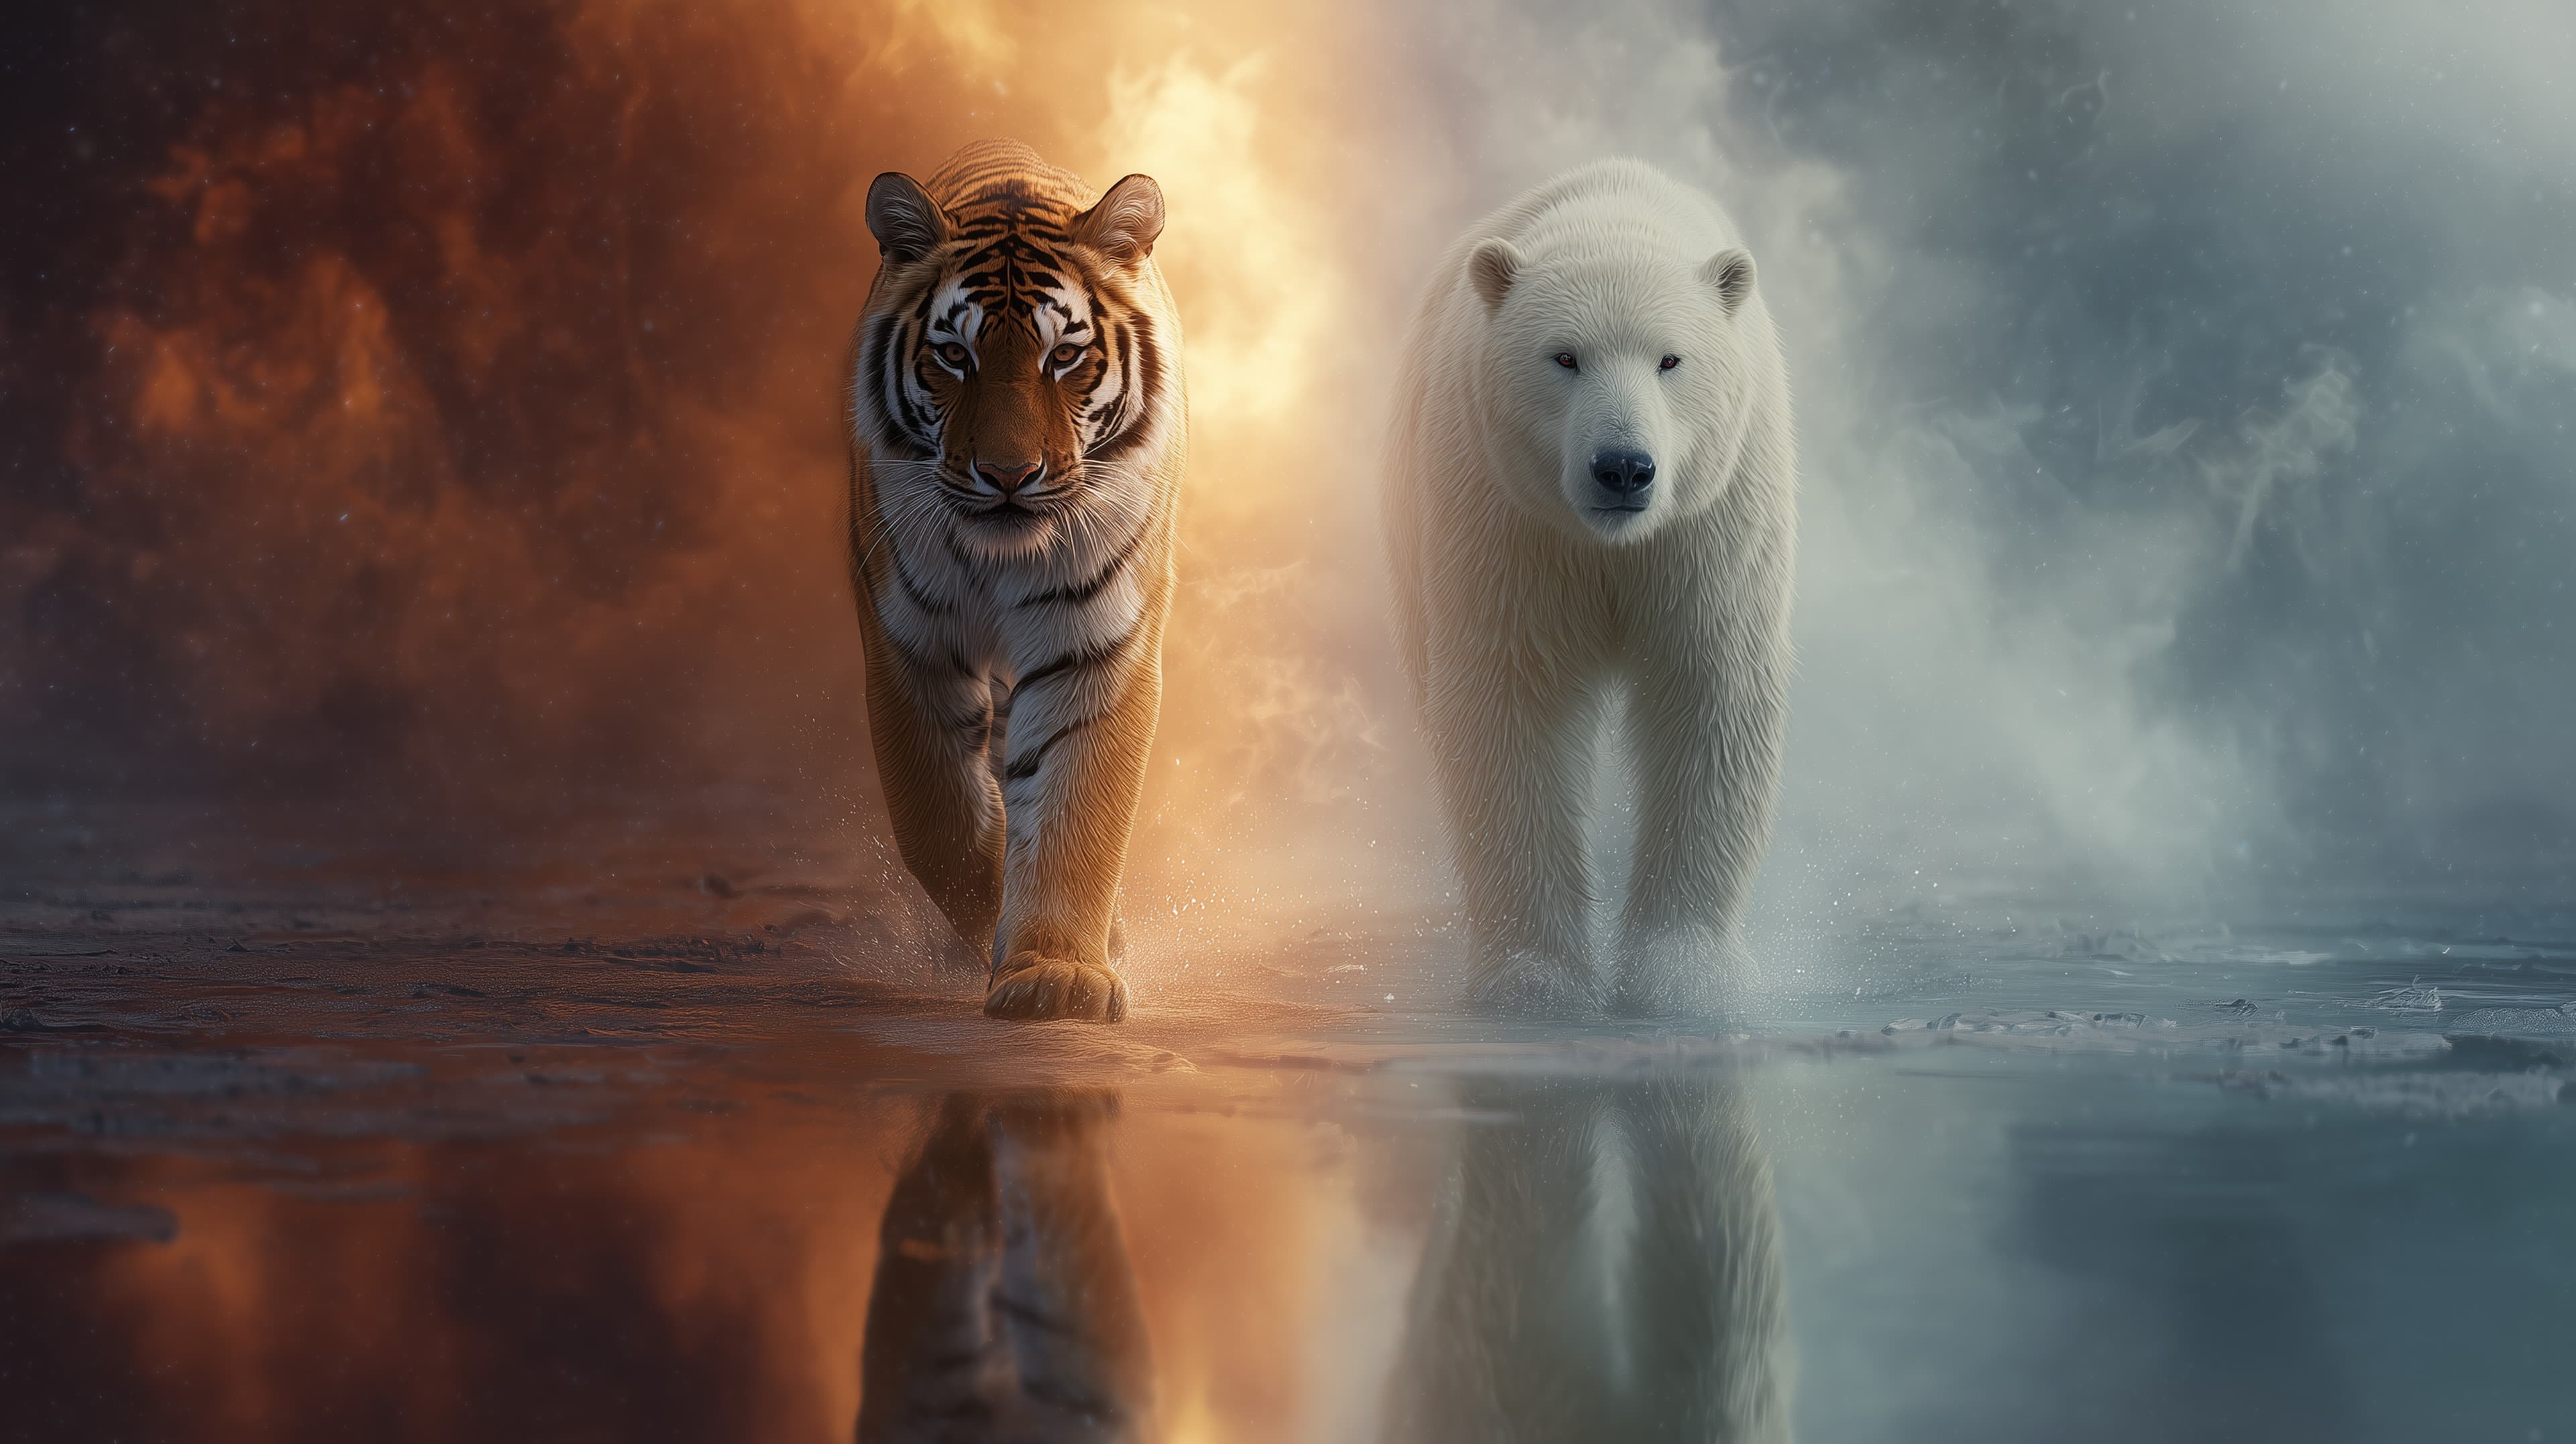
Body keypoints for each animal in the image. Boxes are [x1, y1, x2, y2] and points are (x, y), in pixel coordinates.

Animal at [845, 140, 1185, 1022]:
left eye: (1063, 356)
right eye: (953, 356)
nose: (1006, 475)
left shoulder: (1094, 649)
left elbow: (1075, 816)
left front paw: (1057, 975)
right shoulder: (908, 650)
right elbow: (938, 825)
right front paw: (996, 927)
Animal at [1384, 158, 1796, 1018]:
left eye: (1671, 360)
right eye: (1564, 357)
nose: (1624, 468)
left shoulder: (1711, 524)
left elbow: (1709, 692)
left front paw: (1684, 976)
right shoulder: (1504, 520)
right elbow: (1511, 708)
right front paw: (1535, 979)